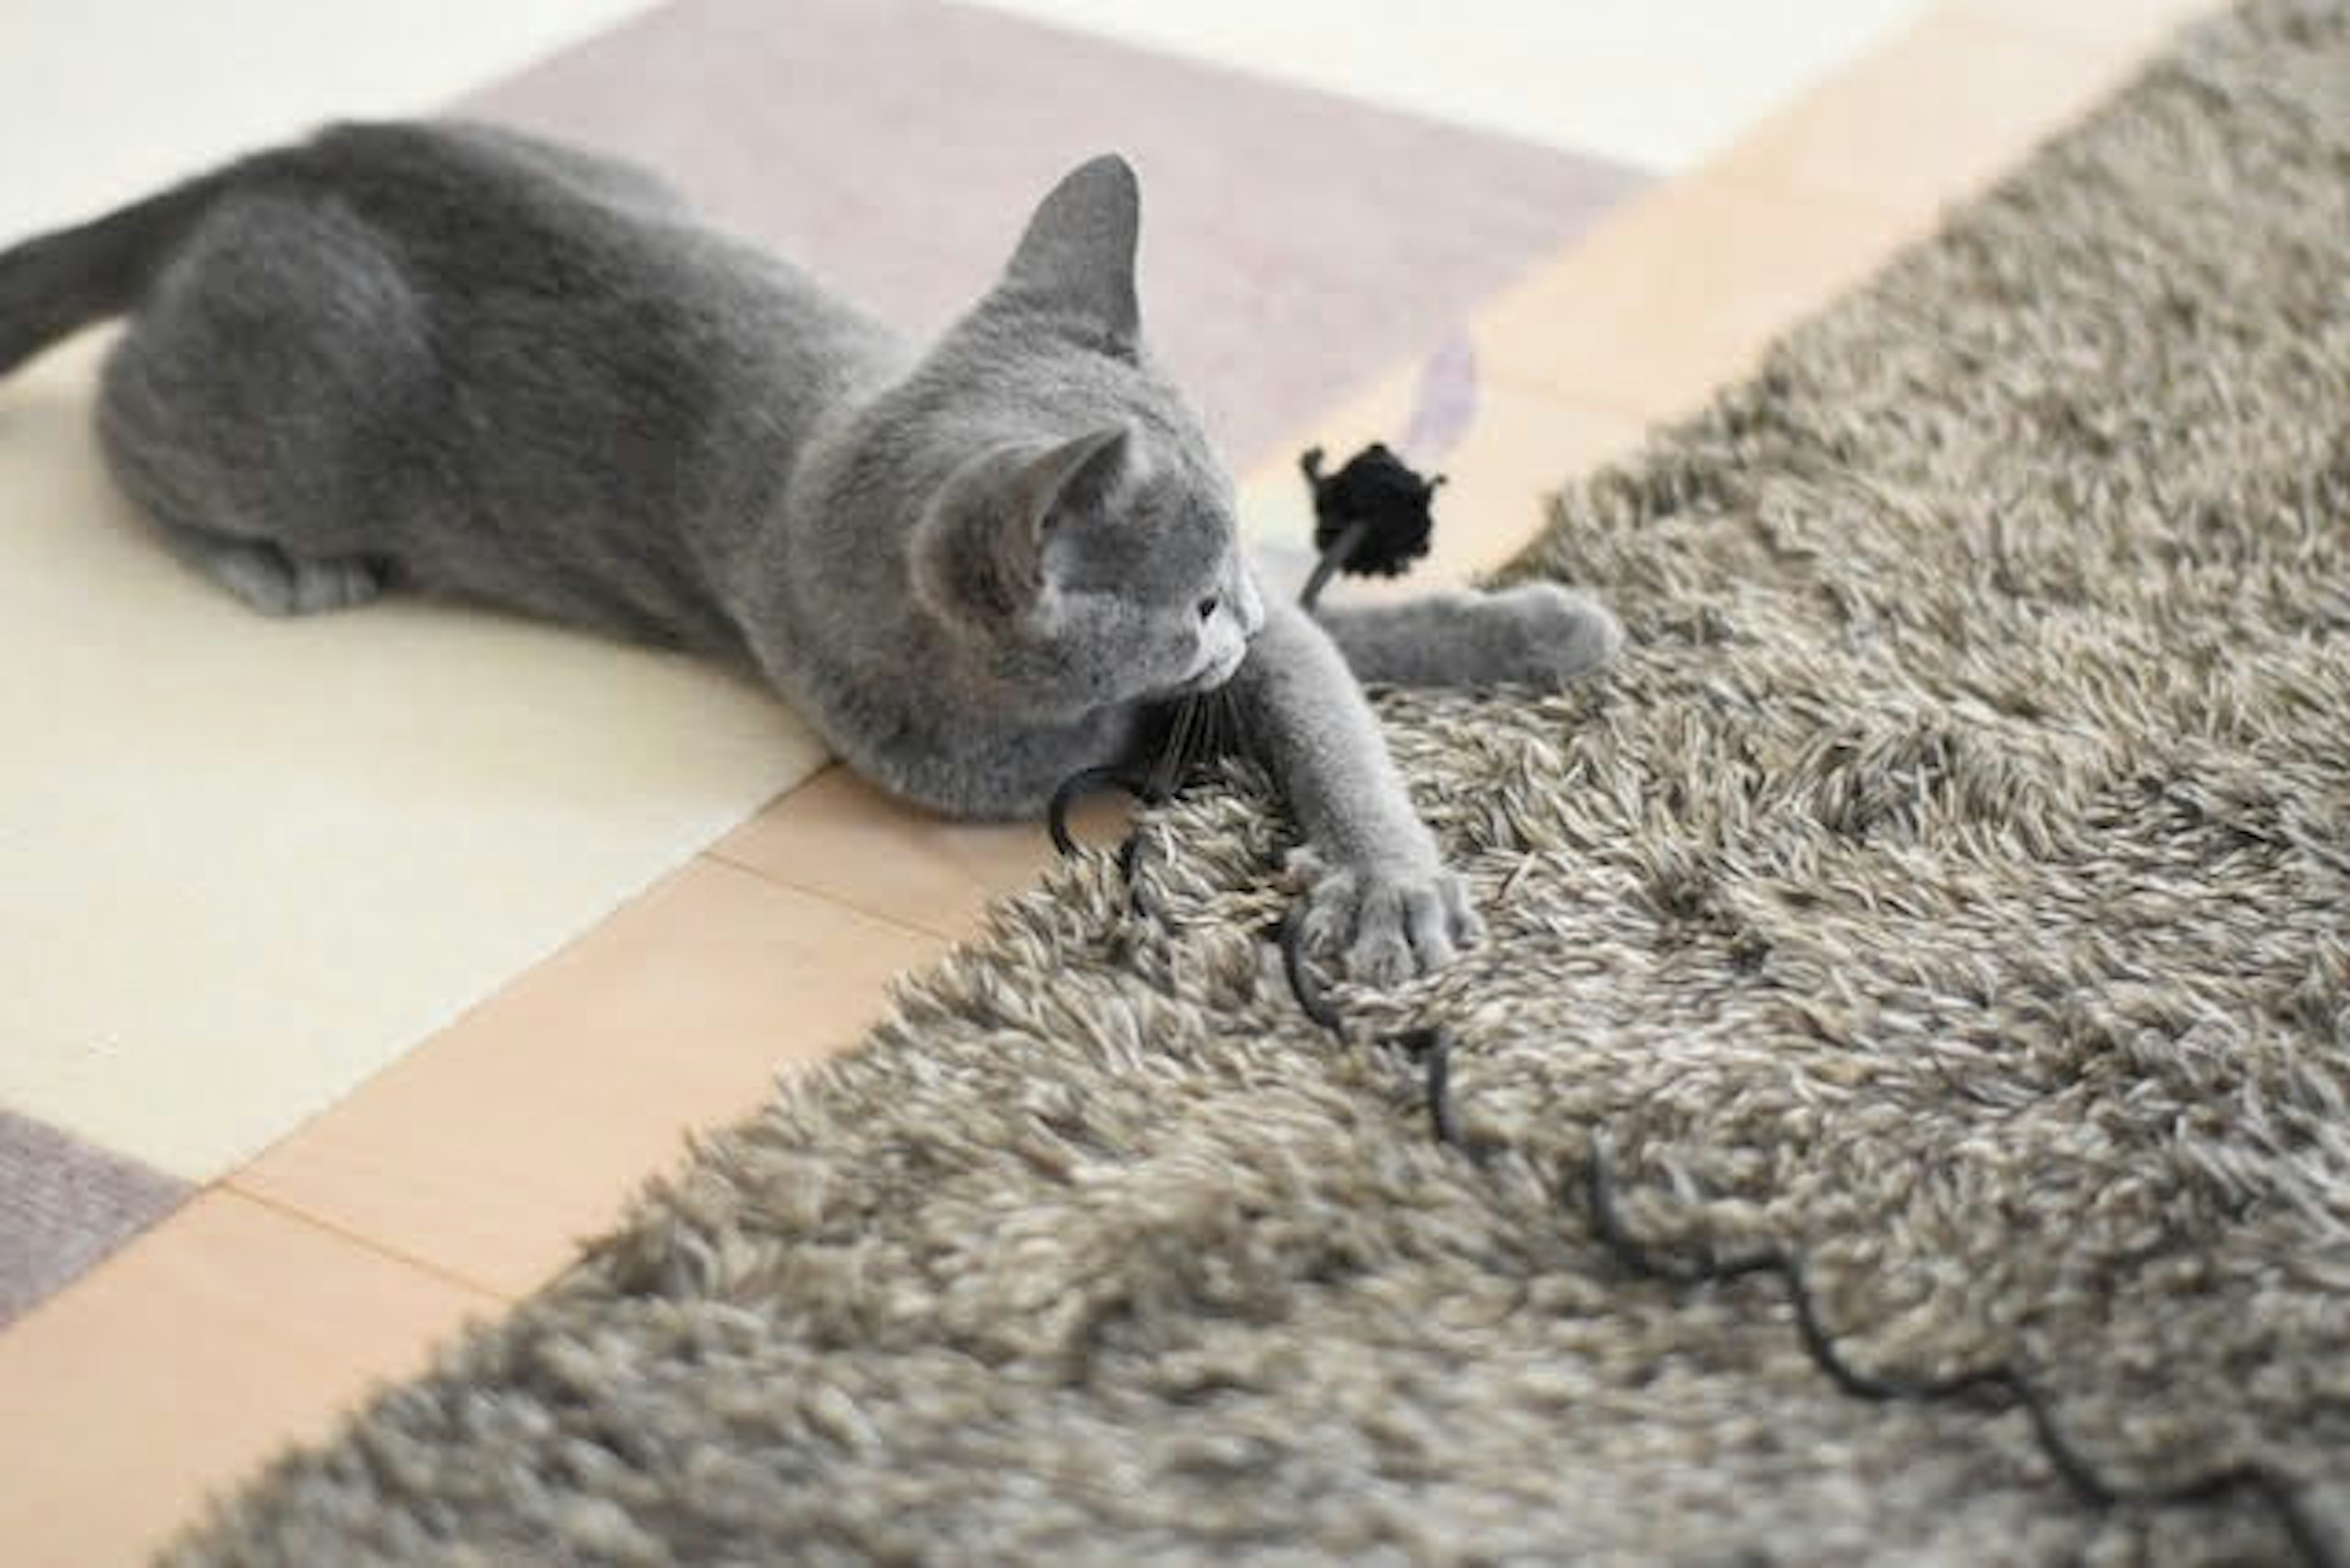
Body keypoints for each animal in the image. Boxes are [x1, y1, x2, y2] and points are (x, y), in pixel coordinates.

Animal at [0, 125, 1616, 982]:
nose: (1233, 619)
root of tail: (274, 161)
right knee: (123, 420)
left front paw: (1533, 638)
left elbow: (1330, 678)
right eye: (1191, 597)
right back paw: (275, 564)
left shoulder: (1271, 649)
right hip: (295, 418)